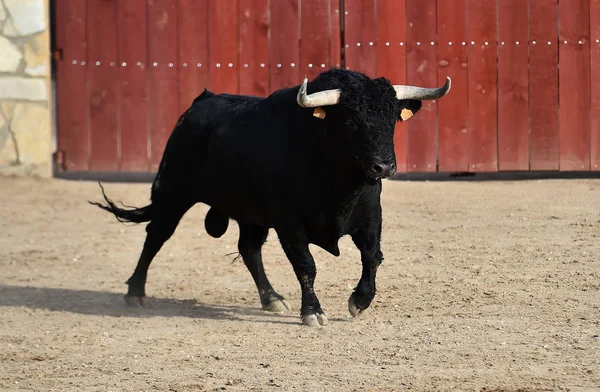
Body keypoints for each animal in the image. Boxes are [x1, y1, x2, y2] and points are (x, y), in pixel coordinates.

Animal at [91, 69, 450, 326]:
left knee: (249, 249)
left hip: (251, 213)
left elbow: (372, 257)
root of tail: (200, 103)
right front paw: (312, 312)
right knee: (156, 236)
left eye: (392, 120)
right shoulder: (289, 223)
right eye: (350, 121)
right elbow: (306, 266)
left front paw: (359, 301)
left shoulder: (370, 216)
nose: (384, 166)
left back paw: (271, 298)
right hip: (173, 193)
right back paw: (135, 292)